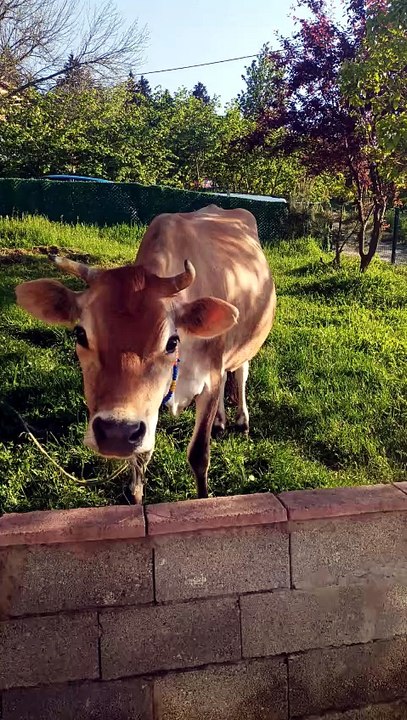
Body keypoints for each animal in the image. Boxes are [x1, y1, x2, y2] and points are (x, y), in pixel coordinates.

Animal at [15, 205, 276, 503]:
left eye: (172, 342)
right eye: (80, 334)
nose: (115, 433)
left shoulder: (209, 378)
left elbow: (199, 454)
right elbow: (141, 456)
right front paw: (136, 496)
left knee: (241, 372)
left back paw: (241, 419)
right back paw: (221, 421)